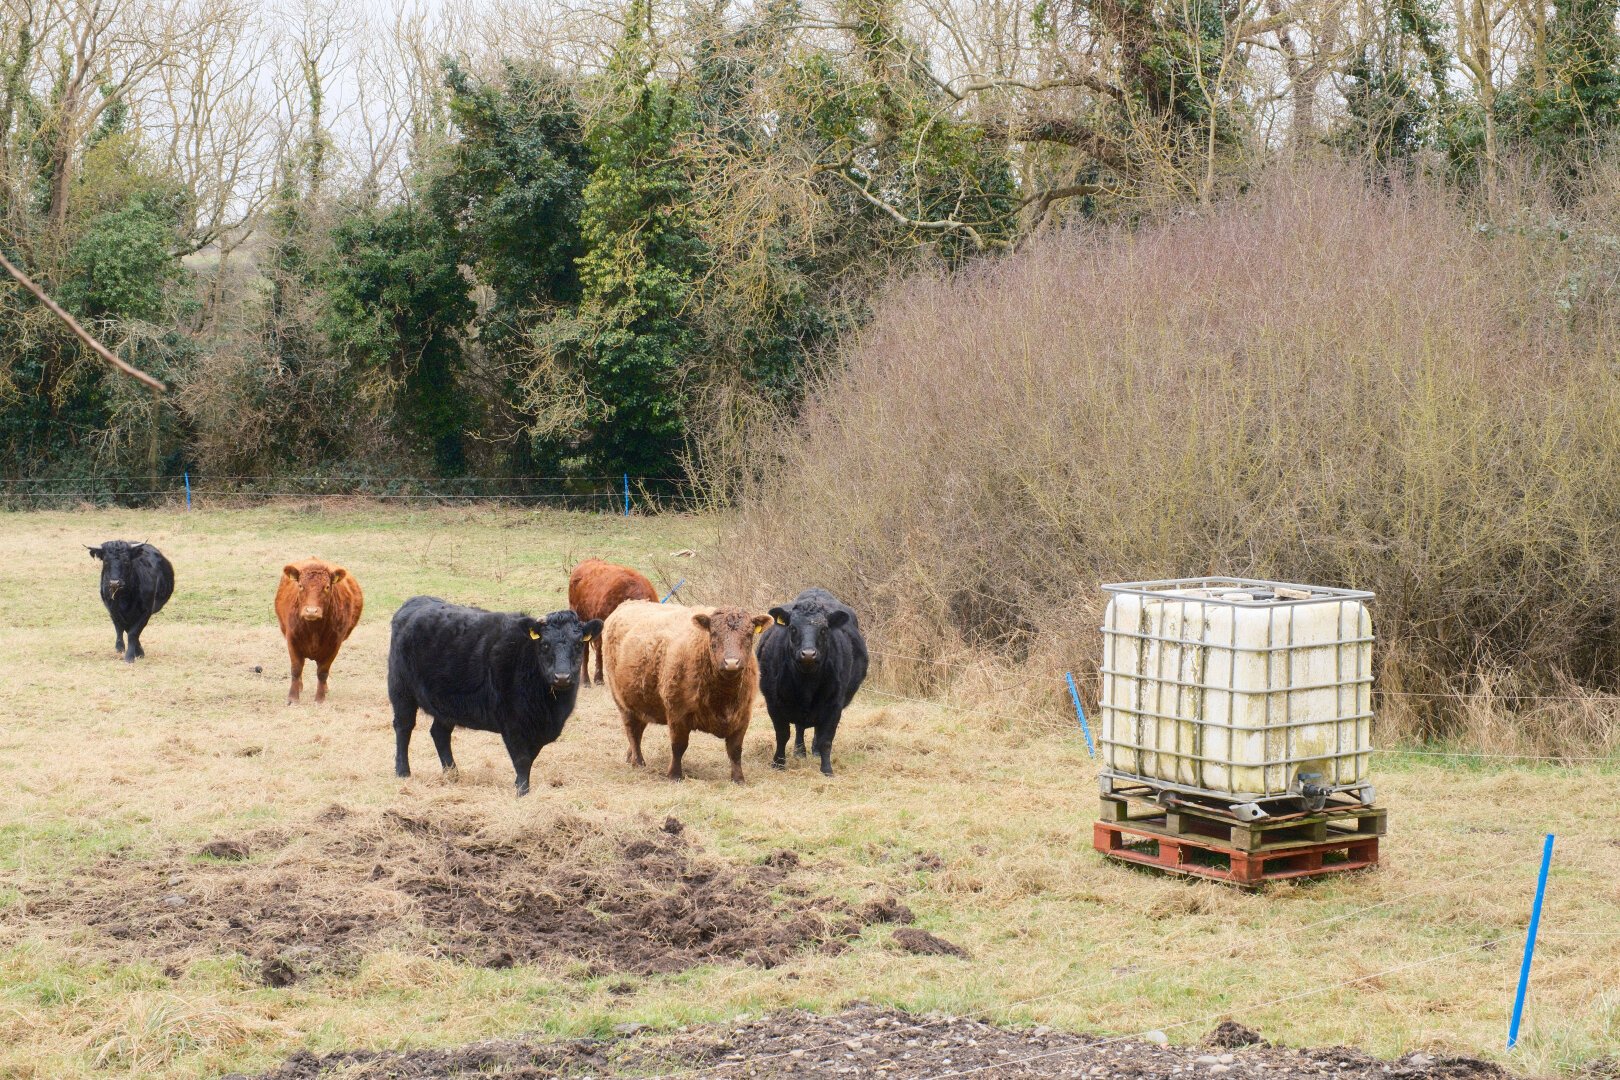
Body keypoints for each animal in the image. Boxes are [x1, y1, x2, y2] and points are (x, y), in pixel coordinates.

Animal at [275, 563, 364, 705]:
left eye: (327, 587)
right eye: (300, 585)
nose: (311, 611)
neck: (313, 629)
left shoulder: (334, 645)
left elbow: (322, 672)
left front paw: (320, 698)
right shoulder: (292, 640)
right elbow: (296, 669)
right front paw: (293, 698)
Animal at [388, 595, 605, 799]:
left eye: (578, 645)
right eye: (544, 644)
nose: (562, 676)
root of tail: (416, 601)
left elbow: (531, 758)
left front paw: (519, 785)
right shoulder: (512, 722)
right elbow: (522, 759)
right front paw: (522, 792)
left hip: (445, 704)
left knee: (439, 733)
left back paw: (453, 774)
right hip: (401, 690)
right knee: (404, 727)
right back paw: (403, 771)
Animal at [602, 599, 771, 786]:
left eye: (749, 634)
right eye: (714, 633)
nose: (732, 662)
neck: (724, 697)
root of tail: (627, 604)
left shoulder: (743, 715)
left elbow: (735, 750)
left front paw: (738, 778)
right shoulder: (677, 713)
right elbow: (678, 746)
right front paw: (674, 774)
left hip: (642, 702)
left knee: (638, 729)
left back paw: (630, 756)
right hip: (622, 701)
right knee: (632, 731)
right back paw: (638, 762)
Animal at [761, 592, 868, 777]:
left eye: (824, 629)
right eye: (792, 628)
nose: (808, 654)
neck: (806, 685)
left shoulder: (834, 706)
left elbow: (826, 739)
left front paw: (827, 769)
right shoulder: (773, 703)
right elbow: (782, 735)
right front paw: (778, 763)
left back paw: (815, 751)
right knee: (799, 728)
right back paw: (799, 752)